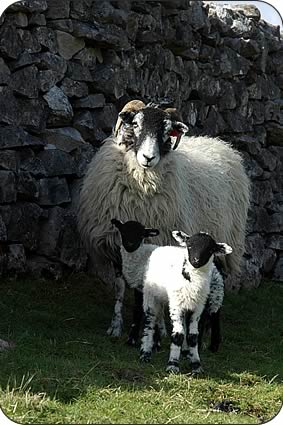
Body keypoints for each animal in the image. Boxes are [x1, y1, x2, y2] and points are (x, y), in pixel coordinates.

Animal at [77, 100, 251, 342]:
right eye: (136, 124)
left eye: (167, 130)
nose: (148, 158)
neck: (141, 183)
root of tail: (221, 145)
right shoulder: (115, 246)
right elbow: (120, 288)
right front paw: (115, 326)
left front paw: (159, 330)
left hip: (224, 243)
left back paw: (206, 328)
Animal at [111, 217, 233, 372]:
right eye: (189, 246)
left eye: (210, 249)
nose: (196, 261)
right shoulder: (167, 299)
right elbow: (172, 331)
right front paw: (171, 362)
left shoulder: (196, 306)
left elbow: (192, 335)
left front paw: (195, 365)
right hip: (157, 295)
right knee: (150, 321)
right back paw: (146, 352)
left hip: (212, 295)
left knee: (213, 315)